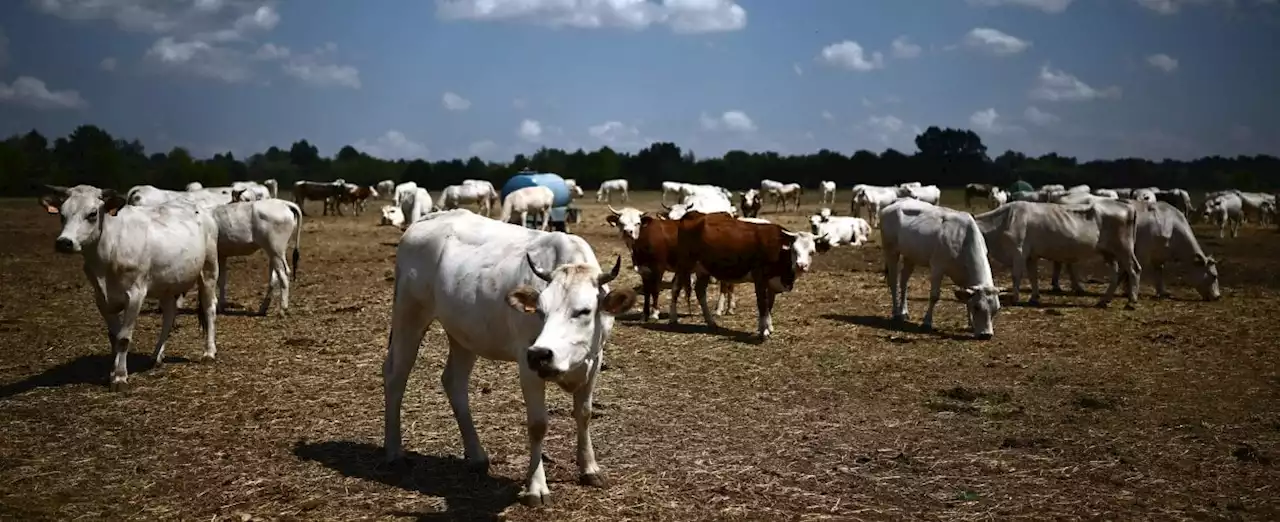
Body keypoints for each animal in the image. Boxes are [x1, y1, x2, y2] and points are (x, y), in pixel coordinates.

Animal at [40, 185, 217, 388]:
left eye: (92, 214)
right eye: (62, 214)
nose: (64, 242)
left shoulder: (135, 295)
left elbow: (124, 338)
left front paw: (119, 377)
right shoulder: (101, 299)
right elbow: (114, 337)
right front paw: (112, 372)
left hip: (209, 269)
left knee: (209, 308)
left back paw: (209, 352)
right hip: (167, 284)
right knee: (169, 315)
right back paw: (157, 355)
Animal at [381, 208, 637, 506]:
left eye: (583, 310)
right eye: (540, 310)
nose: (541, 354)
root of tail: (427, 219)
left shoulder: (594, 360)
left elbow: (584, 413)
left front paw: (590, 469)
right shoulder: (528, 365)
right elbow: (538, 424)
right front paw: (536, 487)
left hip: (464, 332)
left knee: (454, 381)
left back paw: (476, 455)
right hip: (409, 313)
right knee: (396, 374)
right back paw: (394, 451)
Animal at [665, 213, 814, 342]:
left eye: (812, 252)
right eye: (794, 250)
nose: (801, 265)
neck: (779, 249)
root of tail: (693, 215)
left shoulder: (771, 283)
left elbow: (769, 305)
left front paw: (768, 327)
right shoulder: (759, 277)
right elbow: (762, 304)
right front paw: (763, 332)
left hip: (703, 270)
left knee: (700, 291)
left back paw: (711, 322)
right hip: (684, 265)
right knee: (675, 288)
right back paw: (673, 319)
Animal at [880, 198, 998, 337]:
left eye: (996, 309)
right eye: (977, 307)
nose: (987, 334)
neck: (963, 240)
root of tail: (897, 201)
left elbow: (966, 298)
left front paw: (971, 324)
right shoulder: (937, 267)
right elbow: (934, 296)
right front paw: (927, 323)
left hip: (910, 255)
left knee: (904, 281)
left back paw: (903, 311)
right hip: (891, 250)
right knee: (894, 281)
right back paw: (895, 313)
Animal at [972, 198, 1146, 308]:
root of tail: (1127, 206)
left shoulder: (1019, 252)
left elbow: (1017, 276)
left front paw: (1015, 298)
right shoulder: (1031, 256)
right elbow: (1033, 277)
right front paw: (1034, 298)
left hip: (1124, 249)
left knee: (1134, 270)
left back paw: (1131, 302)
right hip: (1109, 252)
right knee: (1116, 274)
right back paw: (1104, 301)